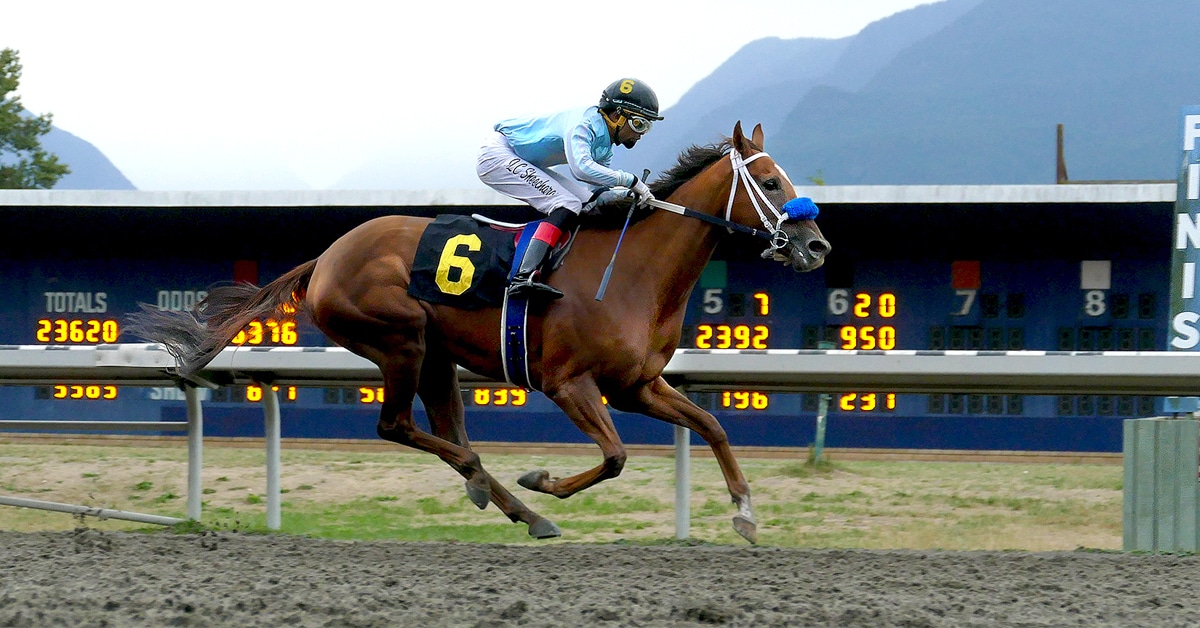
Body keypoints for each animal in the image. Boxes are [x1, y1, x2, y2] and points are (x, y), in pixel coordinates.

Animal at [130, 122, 830, 543]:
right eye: (771, 183)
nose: (817, 245)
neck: (634, 269)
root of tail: (326, 257)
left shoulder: (636, 386)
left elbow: (712, 425)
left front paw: (745, 513)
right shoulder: (568, 382)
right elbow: (614, 457)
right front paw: (542, 479)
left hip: (435, 356)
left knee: (446, 430)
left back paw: (516, 507)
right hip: (401, 339)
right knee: (398, 426)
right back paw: (500, 487)